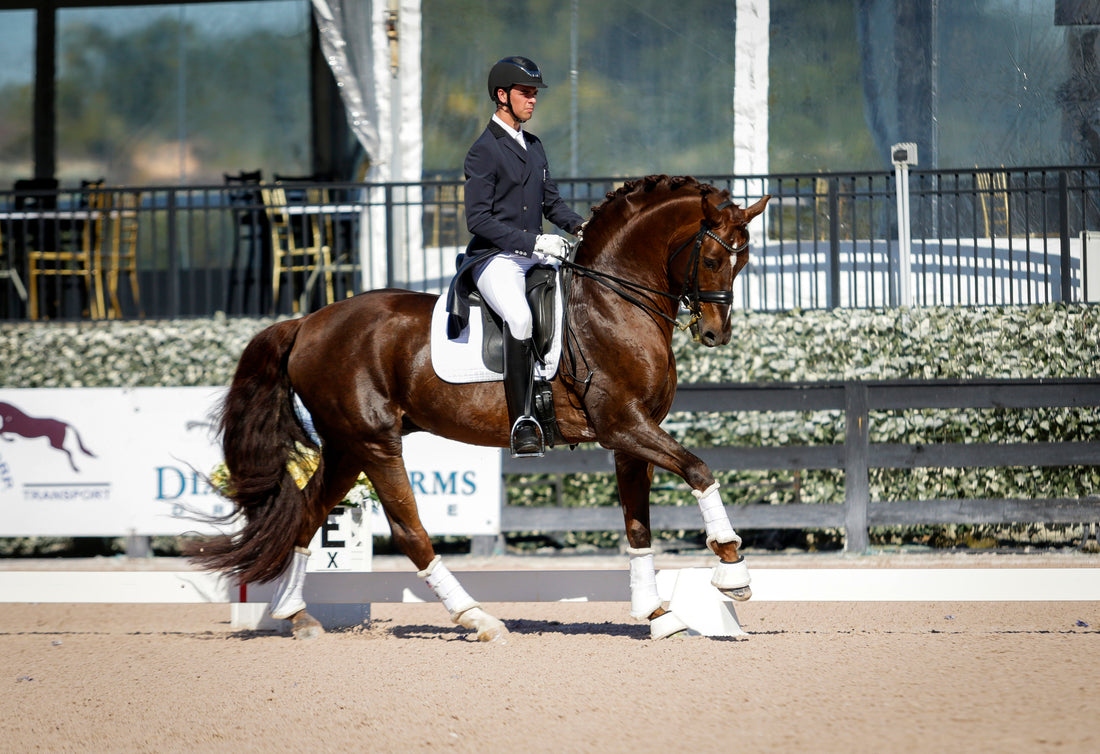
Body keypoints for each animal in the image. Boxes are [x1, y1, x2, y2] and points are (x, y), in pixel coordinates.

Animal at [187, 176, 765, 642]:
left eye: (744, 261)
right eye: (713, 259)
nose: (716, 334)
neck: (612, 303)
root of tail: (307, 322)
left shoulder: (631, 436)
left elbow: (639, 526)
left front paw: (658, 617)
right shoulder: (623, 424)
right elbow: (698, 469)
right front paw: (731, 568)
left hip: (347, 446)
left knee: (308, 513)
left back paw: (298, 616)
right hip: (375, 442)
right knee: (409, 531)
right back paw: (477, 618)